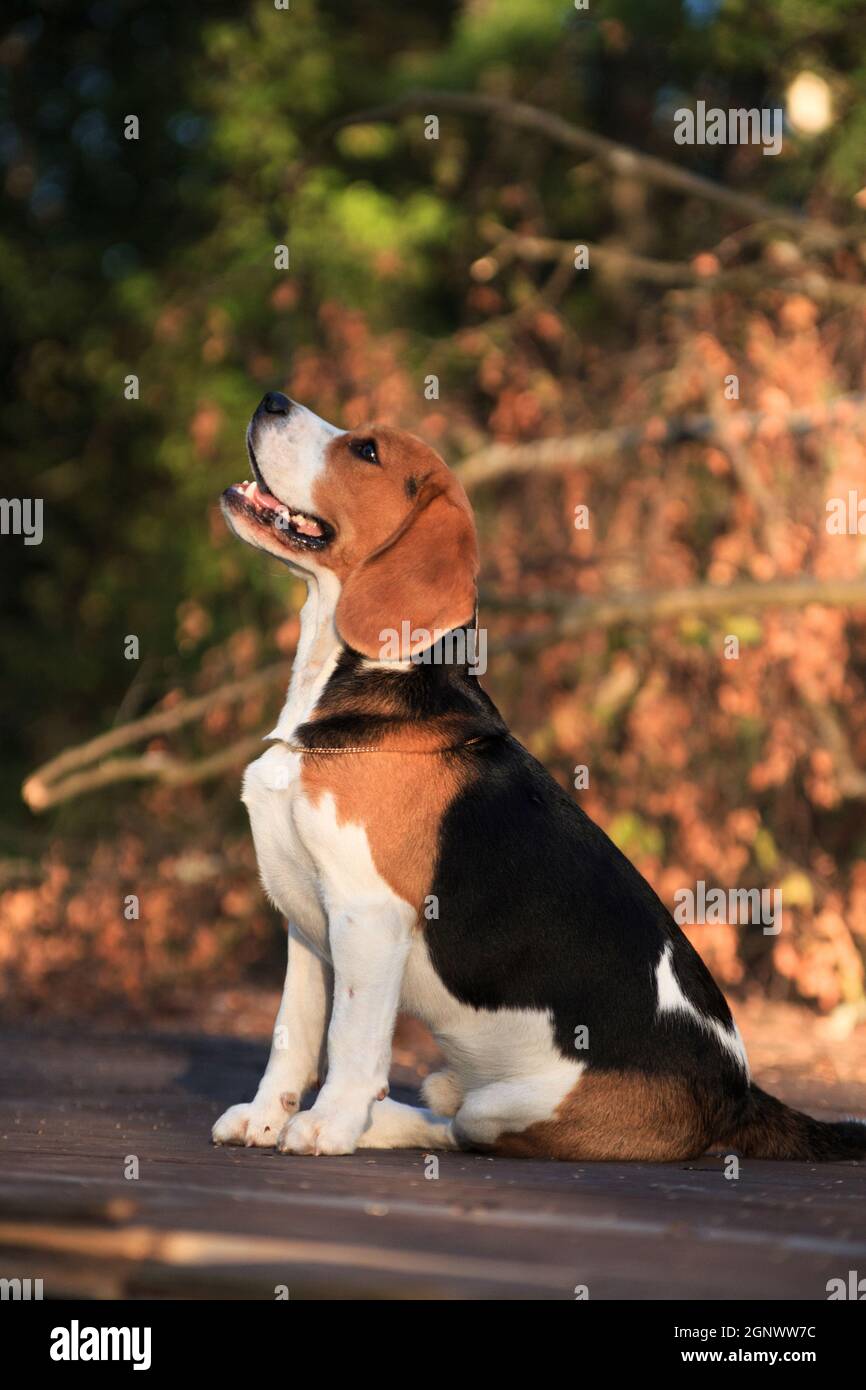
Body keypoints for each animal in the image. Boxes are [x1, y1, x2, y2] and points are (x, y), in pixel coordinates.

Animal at [211, 391, 866, 1162]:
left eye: (366, 451)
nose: (270, 399)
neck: (355, 678)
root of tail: (735, 1095)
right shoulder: (308, 925)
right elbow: (293, 1034)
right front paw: (266, 1117)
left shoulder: (367, 915)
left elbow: (350, 1040)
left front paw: (327, 1127)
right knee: (445, 1113)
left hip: (515, 1107)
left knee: (462, 1125)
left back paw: (376, 1122)